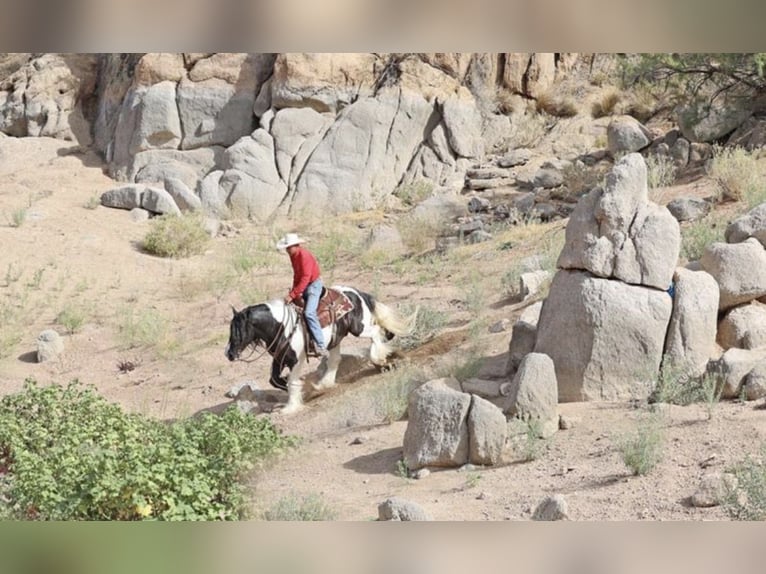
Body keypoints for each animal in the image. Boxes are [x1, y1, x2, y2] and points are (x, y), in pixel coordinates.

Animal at [224, 286, 416, 414]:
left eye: (238, 329)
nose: (229, 353)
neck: (281, 326)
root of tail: (356, 293)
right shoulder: (279, 358)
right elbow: (275, 380)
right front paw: (307, 389)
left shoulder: (296, 359)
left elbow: (290, 381)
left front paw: (292, 404)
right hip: (336, 339)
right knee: (335, 360)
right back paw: (325, 383)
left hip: (359, 328)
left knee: (376, 333)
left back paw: (381, 361)